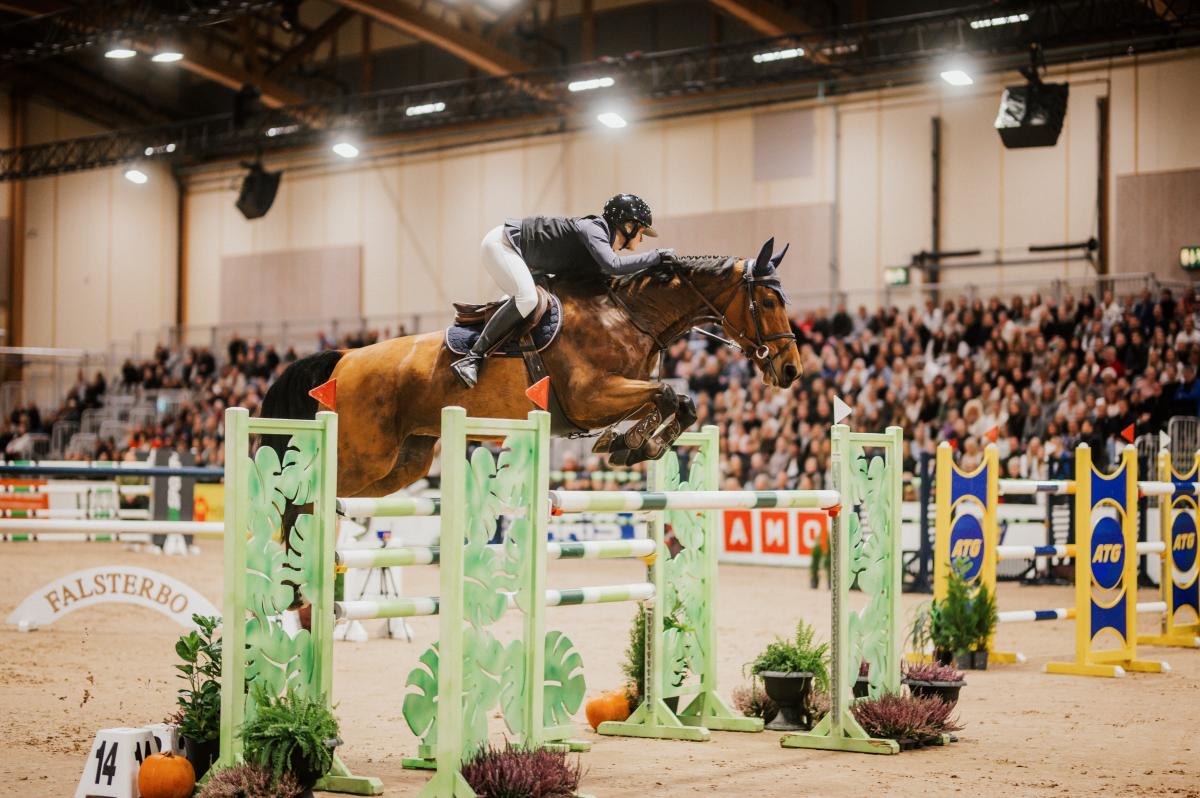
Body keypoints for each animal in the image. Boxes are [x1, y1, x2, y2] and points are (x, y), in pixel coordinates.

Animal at [260, 238, 802, 497]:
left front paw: (628, 444)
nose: (792, 370)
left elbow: (678, 401)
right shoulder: (589, 396)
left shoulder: (621, 389)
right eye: (768, 300)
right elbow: (671, 394)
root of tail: (346, 357)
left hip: (402, 464)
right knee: (303, 492)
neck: (630, 313)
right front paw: (630, 443)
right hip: (364, 455)